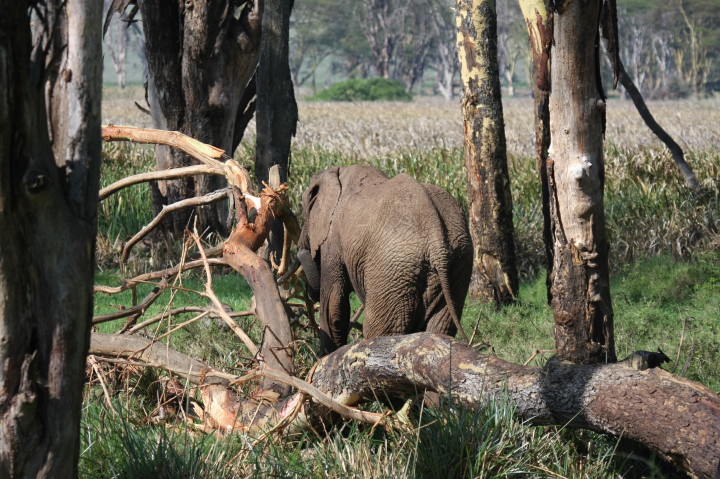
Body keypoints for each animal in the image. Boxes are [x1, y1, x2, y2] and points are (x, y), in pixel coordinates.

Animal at [297, 165, 473, 355]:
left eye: (305, 212)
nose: (300, 250)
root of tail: (437, 239)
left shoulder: (333, 240)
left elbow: (333, 306)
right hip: (458, 265)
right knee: (439, 328)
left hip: (393, 272)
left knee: (378, 330)